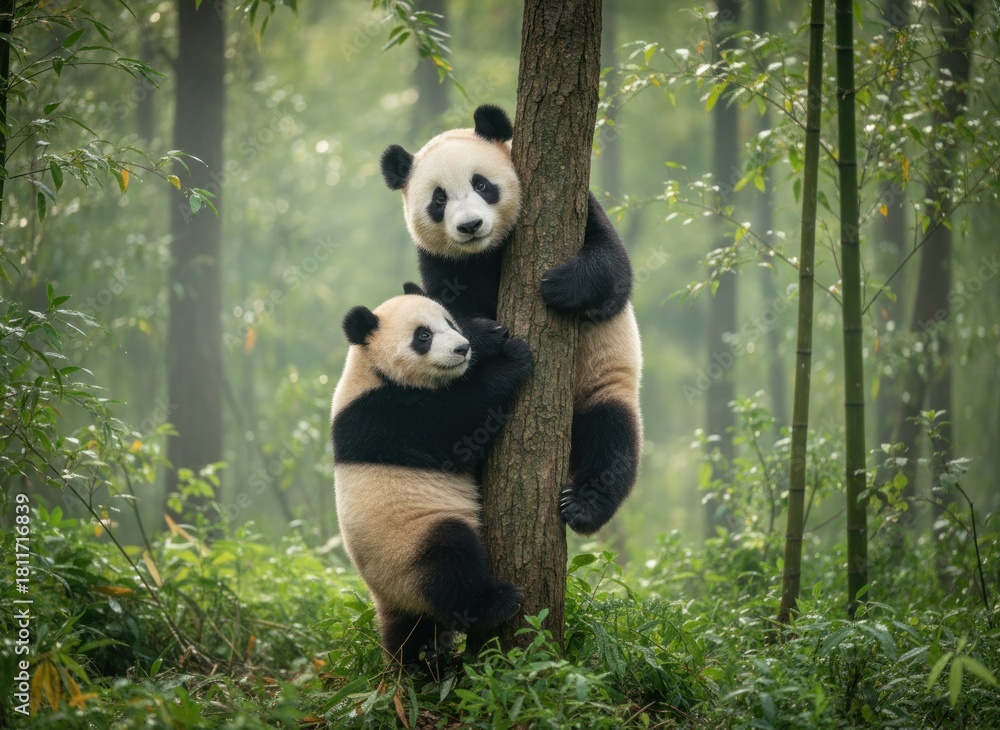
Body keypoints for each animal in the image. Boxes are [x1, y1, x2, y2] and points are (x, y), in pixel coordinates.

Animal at [331, 284, 533, 667]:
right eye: (422, 336)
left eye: (449, 322)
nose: (461, 349)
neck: (372, 370)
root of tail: (390, 598)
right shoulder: (385, 419)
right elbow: (460, 422)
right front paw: (512, 357)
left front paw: (487, 334)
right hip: (409, 548)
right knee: (450, 562)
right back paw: (494, 603)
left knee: (409, 635)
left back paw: (415, 665)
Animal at [380, 104, 642, 536]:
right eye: (439, 198)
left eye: (482, 184)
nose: (470, 226)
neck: (487, 251)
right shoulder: (440, 259)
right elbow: (441, 312)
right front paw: (486, 335)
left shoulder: (583, 208)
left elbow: (613, 269)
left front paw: (559, 285)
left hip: (601, 386)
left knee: (611, 437)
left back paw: (584, 506)